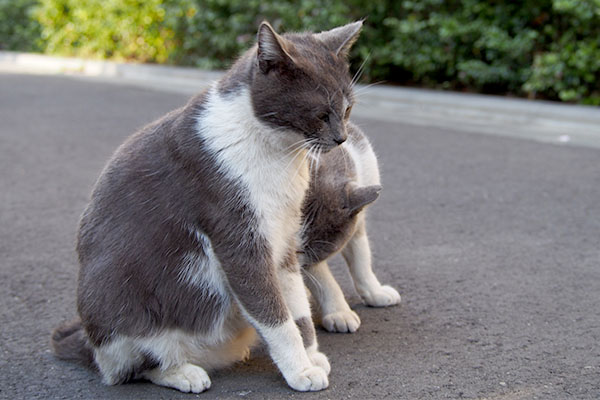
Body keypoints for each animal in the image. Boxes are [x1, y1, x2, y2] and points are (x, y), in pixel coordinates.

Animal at [52, 20, 366, 392]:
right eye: (320, 114)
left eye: (347, 110)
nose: (342, 139)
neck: (280, 157)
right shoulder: (239, 239)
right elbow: (275, 316)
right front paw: (300, 371)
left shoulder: (286, 239)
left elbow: (297, 307)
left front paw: (311, 356)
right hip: (115, 309)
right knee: (133, 368)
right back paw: (184, 373)